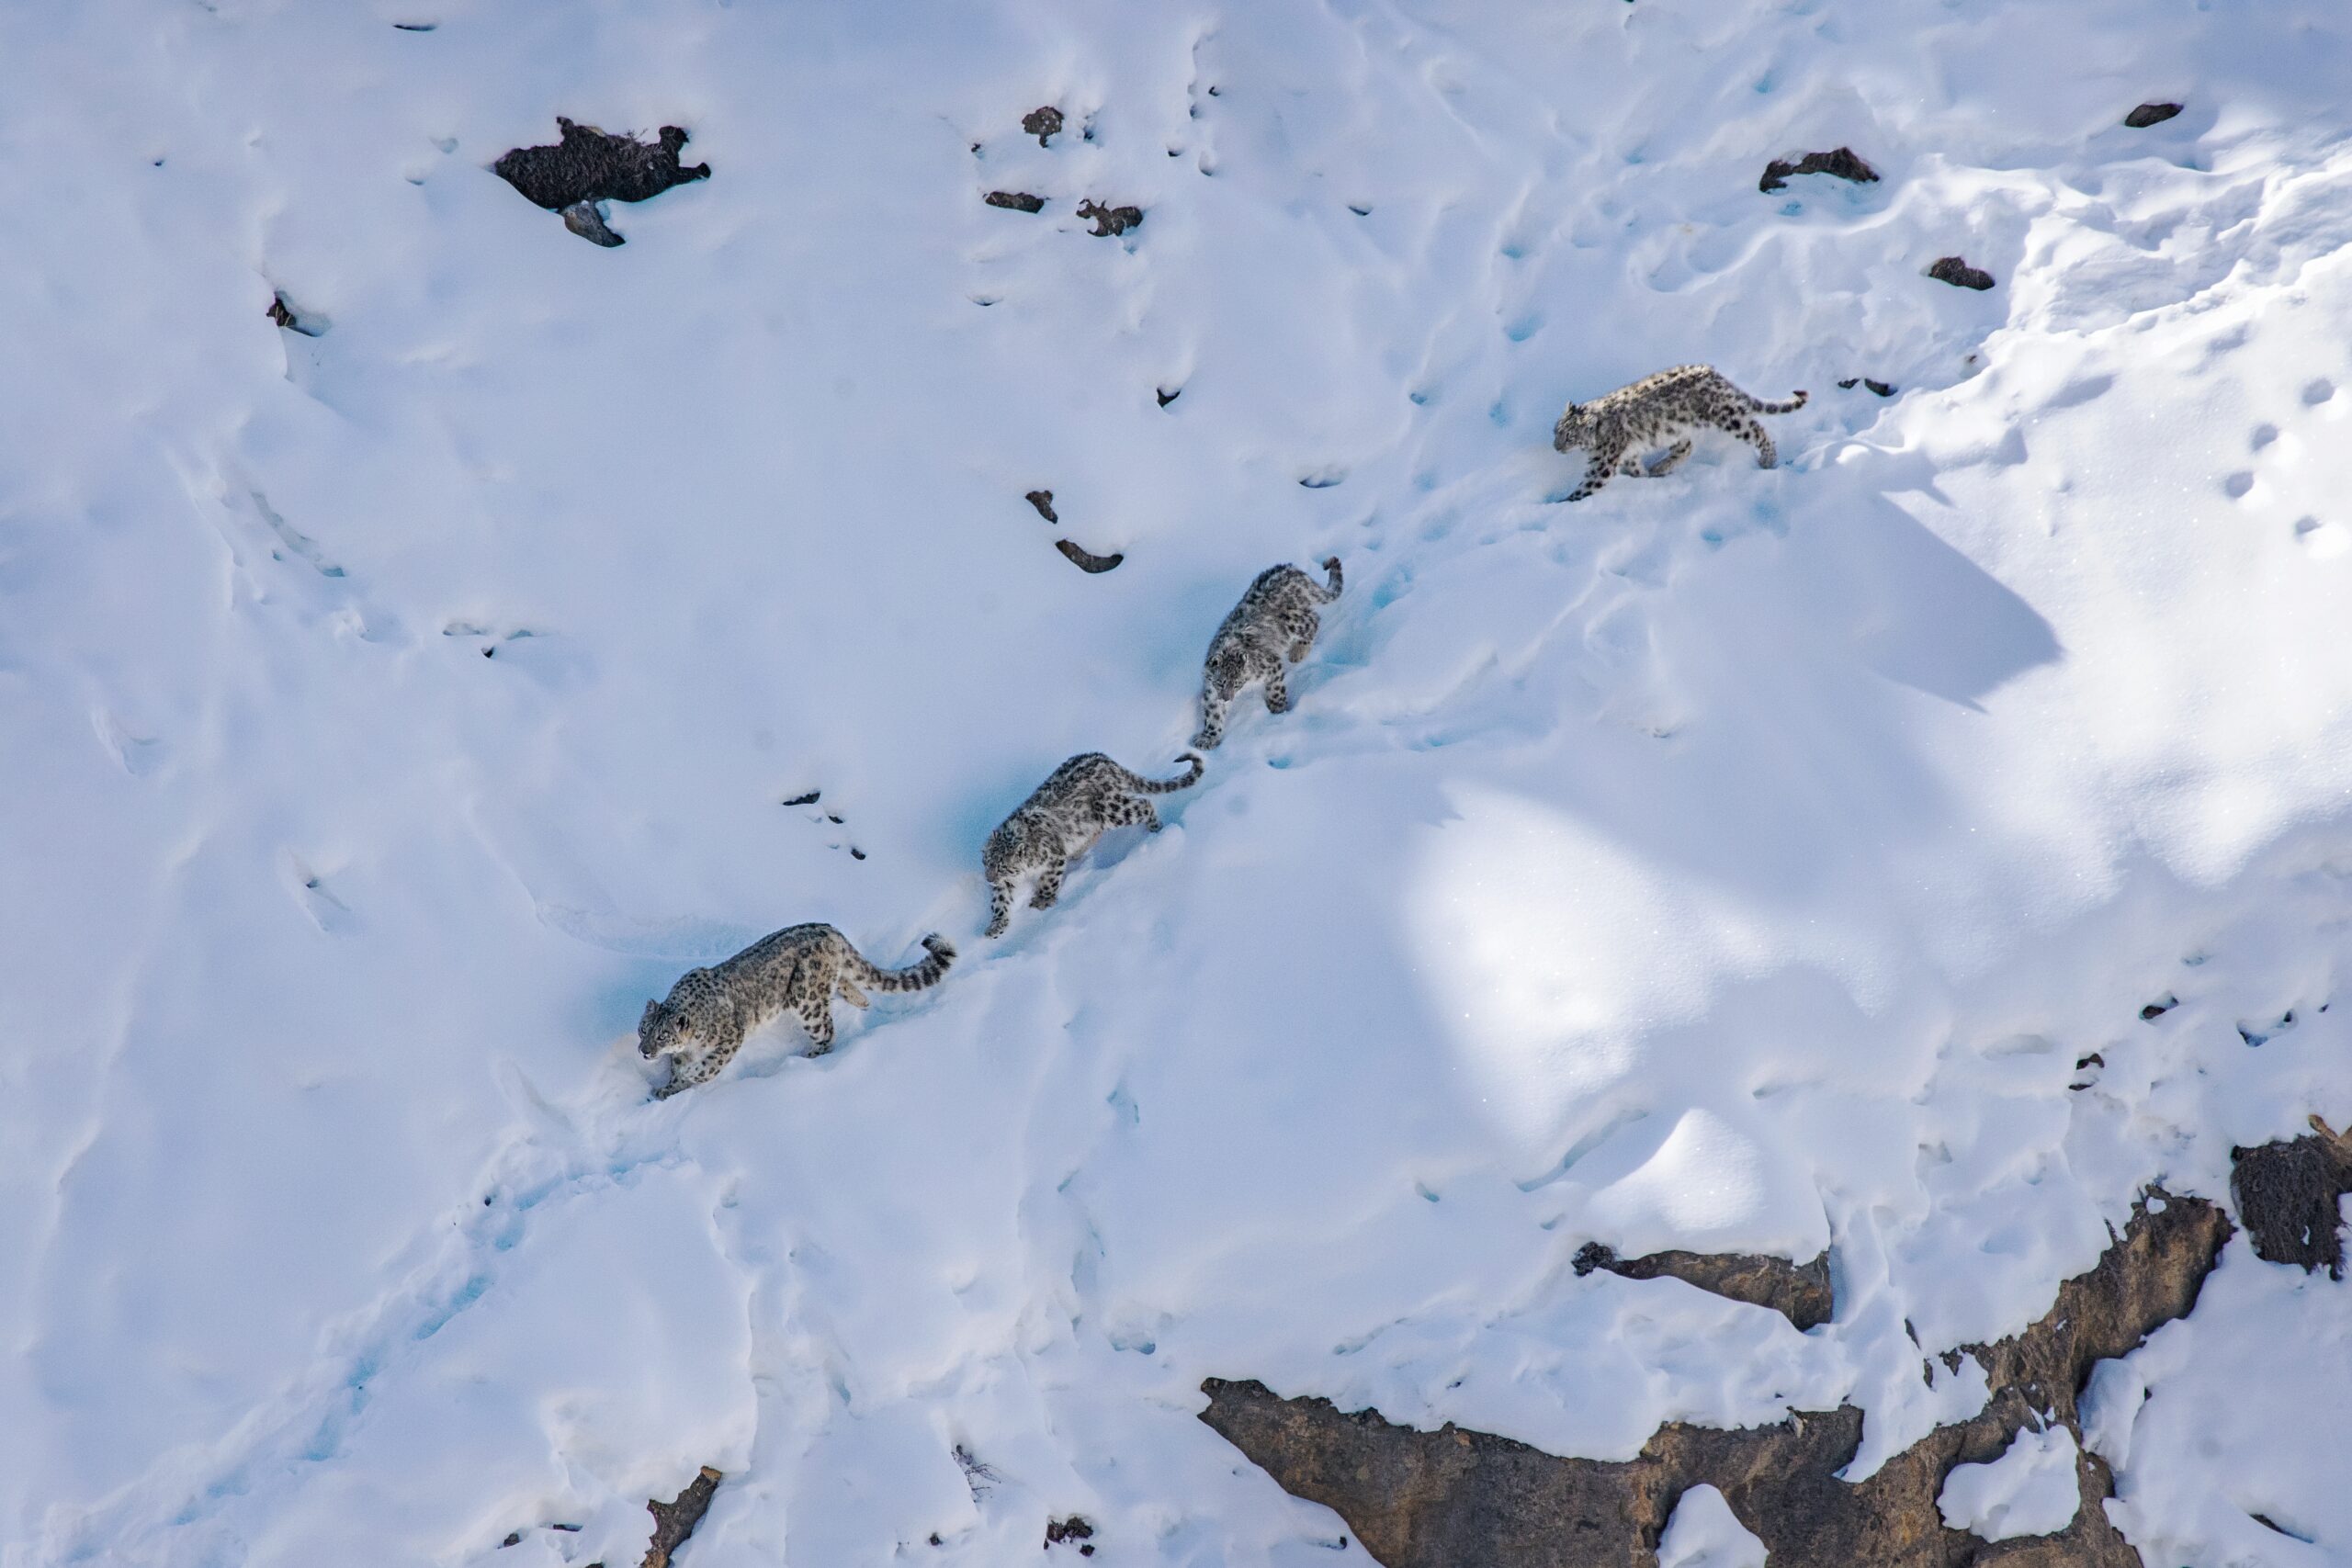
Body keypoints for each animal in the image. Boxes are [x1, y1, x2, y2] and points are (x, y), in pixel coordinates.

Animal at [639, 921, 950, 1090]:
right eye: (643, 1029)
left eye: (662, 1036)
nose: (644, 1051)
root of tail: (831, 931)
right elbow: (677, 1069)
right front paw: (667, 1089)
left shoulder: (731, 1036)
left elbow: (709, 1067)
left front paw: (691, 1076)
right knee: (848, 982)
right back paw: (862, 1002)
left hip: (806, 997)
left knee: (826, 1031)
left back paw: (810, 1058)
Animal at [983, 751, 1204, 931]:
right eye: (986, 862)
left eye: (1003, 867)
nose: (989, 879)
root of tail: (1106, 760)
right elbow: (1000, 899)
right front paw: (996, 925)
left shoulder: (1053, 857)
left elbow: (1049, 880)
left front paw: (1042, 900)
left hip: (1111, 810)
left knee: (1144, 804)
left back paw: (1156, 828)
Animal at [1194, 557, 1345, 751]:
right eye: (1221, 682)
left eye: (1238, 683)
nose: (1227, 699)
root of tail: (1294, 571)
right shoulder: (1210, 689)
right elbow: (1213, 713)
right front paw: (1209, 738)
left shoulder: (1271, 665)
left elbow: (1276, 689)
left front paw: (1278, 708)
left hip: (1293, 621)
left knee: (1313, 619)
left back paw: (1298, 651)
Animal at [1552, 364, 1806, 501]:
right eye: (1556, 431)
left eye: (1569, 436)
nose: (1556, 446)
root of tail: (1714, 374)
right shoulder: (1629, 454)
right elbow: (1635, 467)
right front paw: (1644, 477)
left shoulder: (1603, 463)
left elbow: (1588, 485)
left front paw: (1563, 502)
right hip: (1674, 429)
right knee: (1686, 446)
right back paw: (1659, 468)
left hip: (1728, 417)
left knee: (1757, 430)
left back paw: (1768, 460)